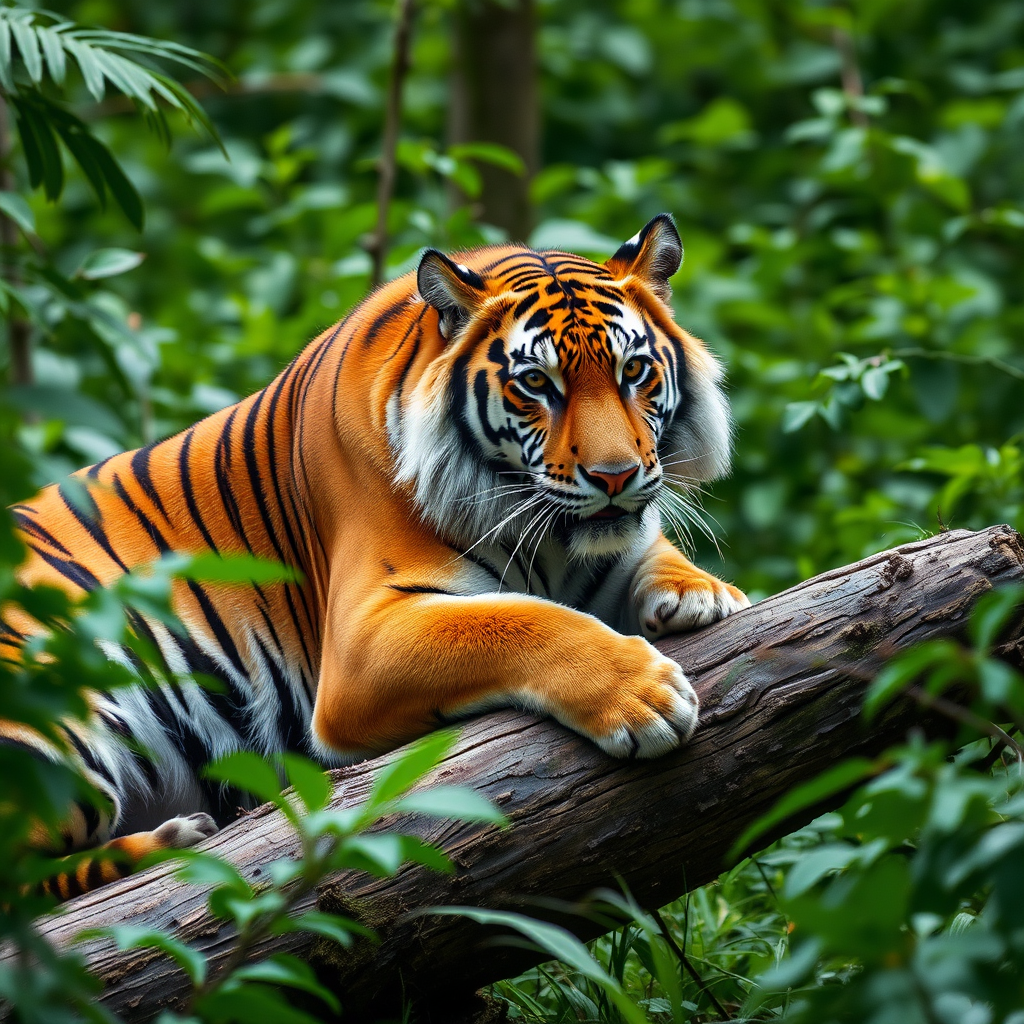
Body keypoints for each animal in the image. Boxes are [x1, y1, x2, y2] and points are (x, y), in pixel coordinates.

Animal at [2, 213, 748, 898]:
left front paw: (702, 593)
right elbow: (519, 621)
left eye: (634, 371)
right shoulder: (361, 642)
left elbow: (643, 553)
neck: (553, 545)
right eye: (537, 384)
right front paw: (642, 696)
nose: (615, 477)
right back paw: (174, 838)